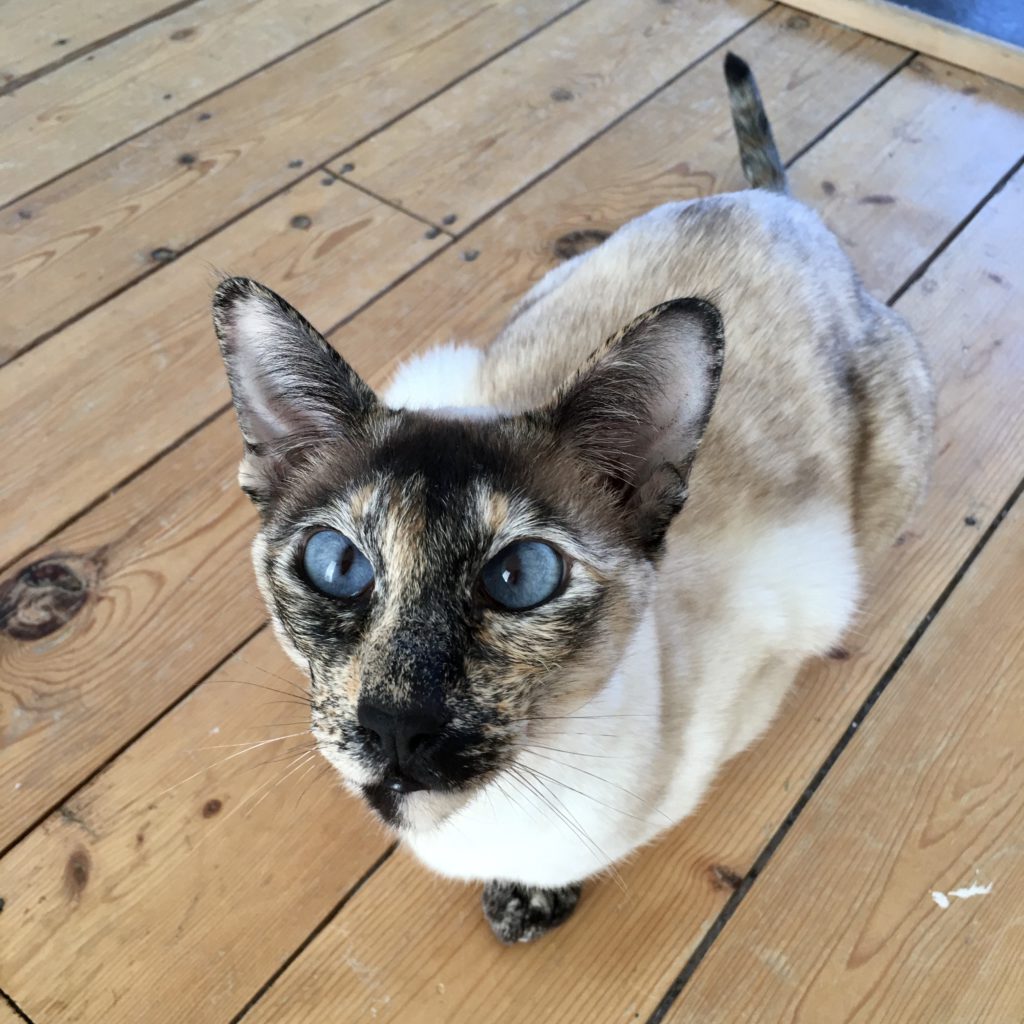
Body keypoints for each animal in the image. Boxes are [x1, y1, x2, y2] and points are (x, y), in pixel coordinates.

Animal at [214, 51, 937, 937]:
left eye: (520, 577)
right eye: (337, 566)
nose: (397, 726)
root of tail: (776, 206)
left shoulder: (793, 611)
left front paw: (531, 895)